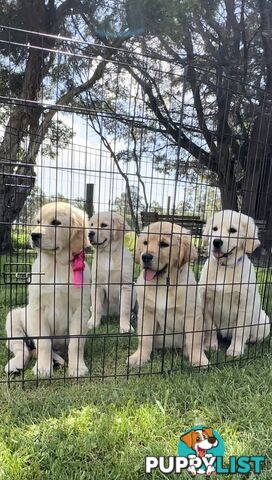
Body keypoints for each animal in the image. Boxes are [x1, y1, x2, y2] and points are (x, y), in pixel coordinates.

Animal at [5, 201, 90, 376]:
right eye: (38, 221)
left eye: (56, 222)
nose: (33, 235)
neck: (58, 264)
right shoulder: (38, 309)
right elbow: (44, 342)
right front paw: (43, 368)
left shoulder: (80, 311)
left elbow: (76, 344)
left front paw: (77, 367)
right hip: (13, 318)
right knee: (23, 349)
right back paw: (15, 365)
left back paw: (57, 360)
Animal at [127, 221, 208, 368]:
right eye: (145, 242)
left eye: (164, 244)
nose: (145, 257)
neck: (163, 285)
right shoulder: (147, 312)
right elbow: (145, 338)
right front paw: (139, 357)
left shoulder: (192, 314)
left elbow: (194, 340)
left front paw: (199, 359)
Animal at [199, 210, 270, 356]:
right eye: (214, 229)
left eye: (232, 230)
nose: (216, 242)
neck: (224, 267)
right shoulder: (205, 302)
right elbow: (210, 327)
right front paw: (211, 345)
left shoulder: (245, 305)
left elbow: (240, 331)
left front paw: (235, 350)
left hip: (265, 321)